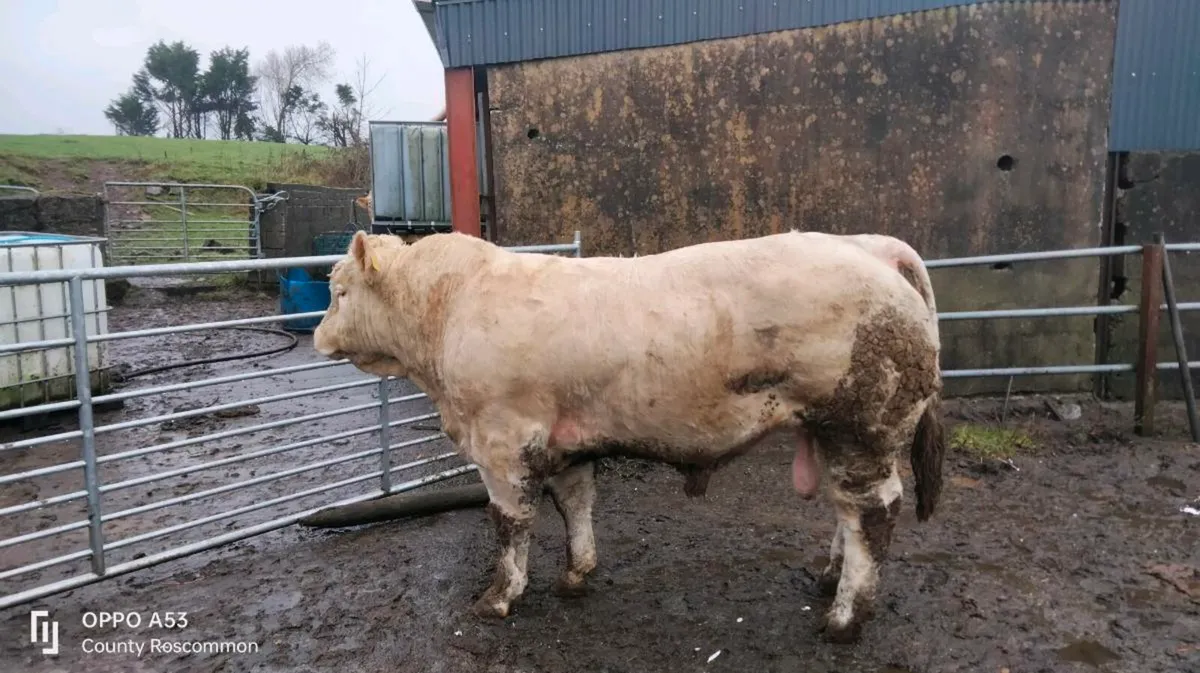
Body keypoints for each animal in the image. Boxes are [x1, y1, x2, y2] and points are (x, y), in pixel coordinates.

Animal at [312, 229, 945, 644]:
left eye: (339, 292)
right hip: (836, 433)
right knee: (846, 511)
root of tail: (873, 249)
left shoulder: (502, 439)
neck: (445, 309)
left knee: (873, 513)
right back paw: (829, 578)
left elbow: (509, 522)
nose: (317, 337)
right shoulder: (564, 439)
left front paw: (499, 596)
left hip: (862, 427)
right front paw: (576, 574)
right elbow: (575, 502)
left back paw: (844, 618)